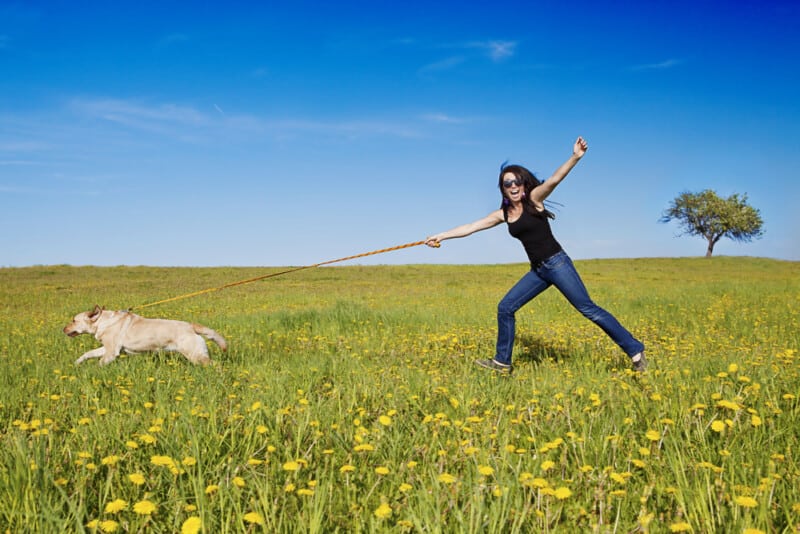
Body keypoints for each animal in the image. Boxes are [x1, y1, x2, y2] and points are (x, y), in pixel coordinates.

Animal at [63, 306, 227, 368]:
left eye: (73, 320)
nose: (63, 329)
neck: (103, 322)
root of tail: (190, 325)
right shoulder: (107, 348)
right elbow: (87, 353)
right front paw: (77, 363)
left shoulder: (110, 352)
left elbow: (99, 363)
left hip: (196, 355)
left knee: (215, 365)